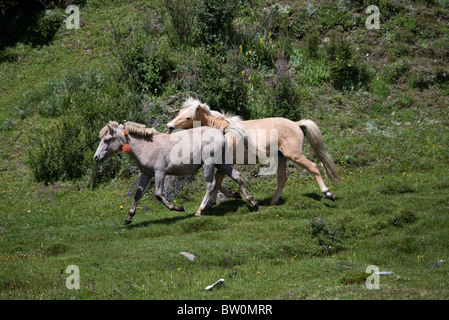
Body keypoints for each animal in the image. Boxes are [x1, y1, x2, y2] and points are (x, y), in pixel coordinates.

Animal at [93, 120, 258, 225]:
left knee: (211, 185)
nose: (96, 157)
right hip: (221, 163)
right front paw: (128, 218)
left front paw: (178, 208)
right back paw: (253, 202)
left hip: (209, 164)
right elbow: (138, 194)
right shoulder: (146, 174)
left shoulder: (159, 173)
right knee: (237, 176)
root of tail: (221, 133)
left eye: (107, 140)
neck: (147, 147)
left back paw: (200, 210)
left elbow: (158, 195)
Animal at [166, 97, 338, 206]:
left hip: (294, 155)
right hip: (281, 157)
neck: (221, 130)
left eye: (188, 118)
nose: (169, 127)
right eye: (179, 112)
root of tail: (296, 123)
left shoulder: (223, 163)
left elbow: (217, 182)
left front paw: (212, 202)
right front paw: (222, 198)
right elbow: (217, 183)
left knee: (314, 167)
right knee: (282, 178)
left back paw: (328, 193)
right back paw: (273, 202)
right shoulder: (221, 164)